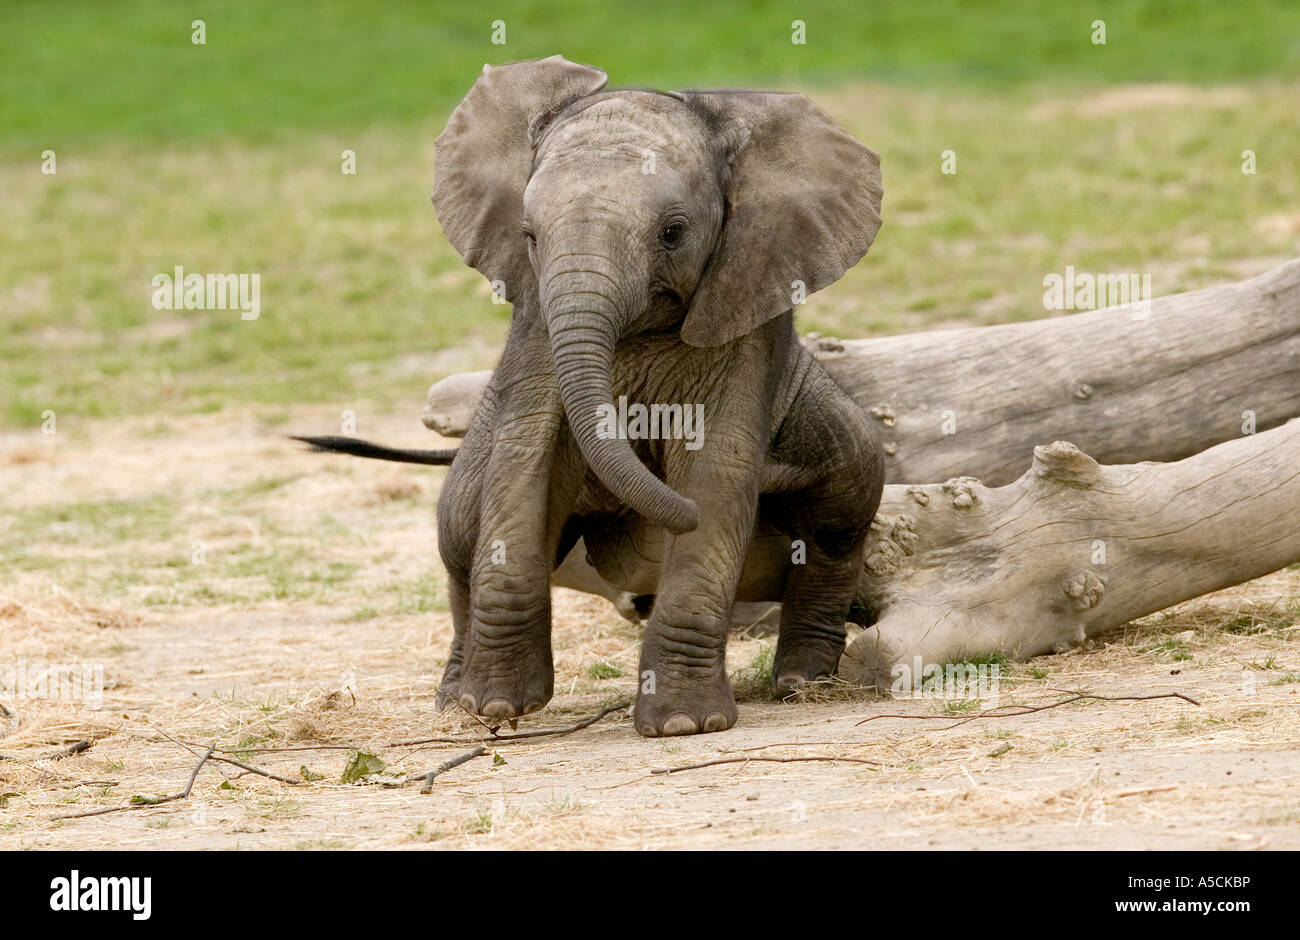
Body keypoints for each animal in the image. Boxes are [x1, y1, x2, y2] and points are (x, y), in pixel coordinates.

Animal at [345, 56, 883, 743]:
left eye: (673, 233)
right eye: (528, 235)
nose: (668, 510)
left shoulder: (748, 322)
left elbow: (717, 472)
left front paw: (683, 724)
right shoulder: (538, 328)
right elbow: (525, 462)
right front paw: (496, 708)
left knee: (841, 511)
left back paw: (801, 685)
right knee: (461, 529)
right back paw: (452, 702)